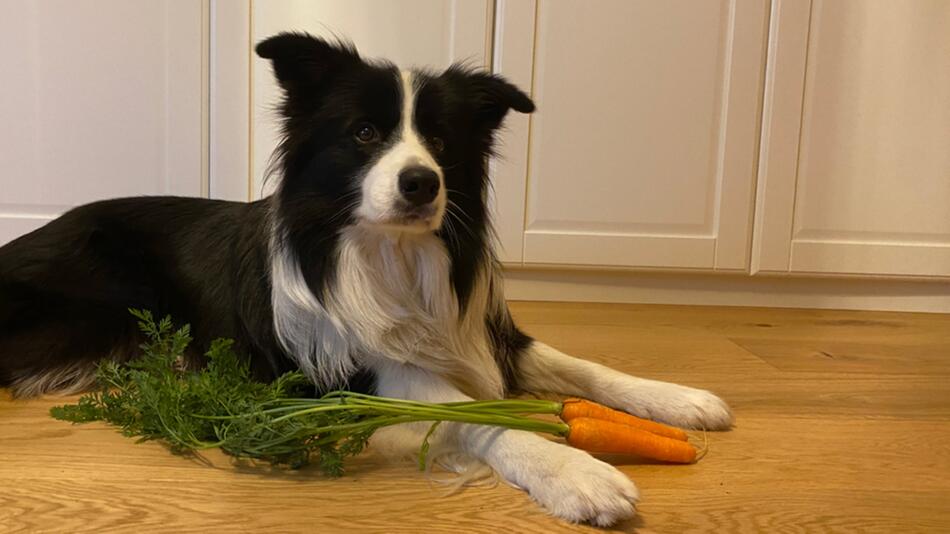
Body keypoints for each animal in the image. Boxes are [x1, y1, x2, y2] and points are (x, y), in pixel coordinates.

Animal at [0, 33, 736, 528]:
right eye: (363, 133)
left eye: (440, 143)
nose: (422, 183)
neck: (392, 255)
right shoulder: (360, 369)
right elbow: (474, 417)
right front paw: (575, 471)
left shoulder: (484, 332)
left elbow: (583, 368)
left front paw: (679, 400)